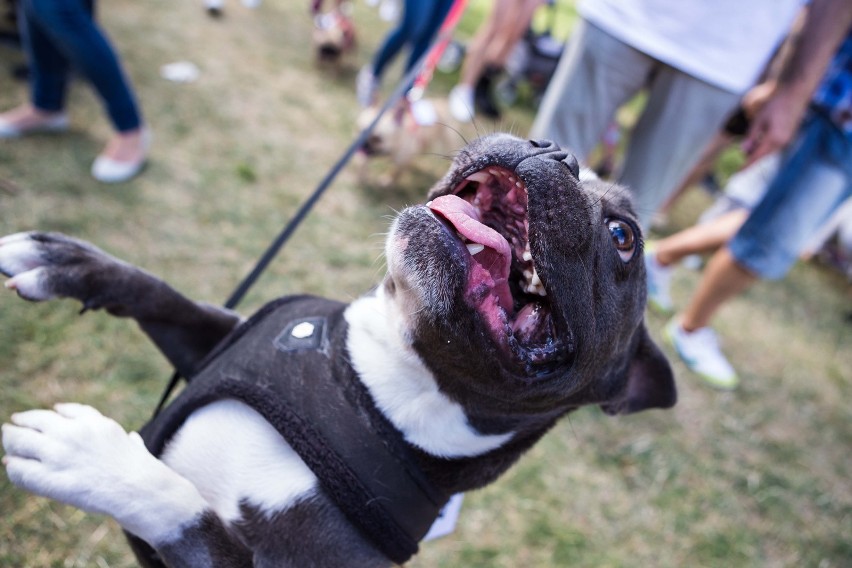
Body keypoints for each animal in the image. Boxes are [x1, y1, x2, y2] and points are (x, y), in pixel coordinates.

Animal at [1, 134, 680, 568]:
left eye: (623, 235)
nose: (554, 149)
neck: (372, 387)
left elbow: (186, 510)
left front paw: (88, 457)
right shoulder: (216, 342)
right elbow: (163, 295)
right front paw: (64, 260)